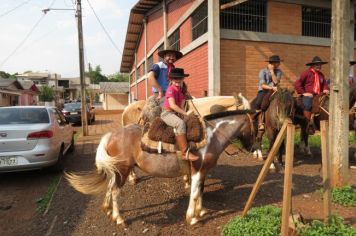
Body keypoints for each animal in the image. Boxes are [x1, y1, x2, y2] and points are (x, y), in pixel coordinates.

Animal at [66, 109, 256, 226]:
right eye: (258, 129)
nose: (254, 149)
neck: (211, 136)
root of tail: (112, 135)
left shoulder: (202, 171)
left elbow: (200, 191)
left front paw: (200, 211)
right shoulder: (197, 170)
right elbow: (194, 193)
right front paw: (191, 218)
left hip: (117, 170)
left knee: (110, 186)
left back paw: (107, 210)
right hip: (123, 170)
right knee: (115, 191)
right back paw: (119, 218)